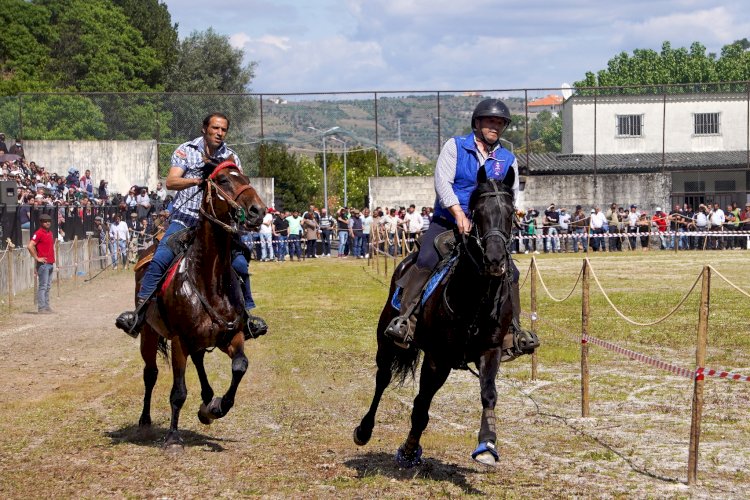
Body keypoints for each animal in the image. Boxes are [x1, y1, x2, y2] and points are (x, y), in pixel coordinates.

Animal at [135, 159, 268, 446]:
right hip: (149, 333)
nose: (258, 210)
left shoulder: (231, 335)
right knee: (150, 373)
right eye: (224, 180)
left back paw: (207, 401)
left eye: (245, 178)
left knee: (198, 361)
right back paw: (145, 420)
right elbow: (178, 391)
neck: (209, 279)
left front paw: (216, 407)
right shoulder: (178, 340)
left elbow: (240, 366)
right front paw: (173, 438)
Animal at [356, 166, 520, 466]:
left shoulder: (489, 350)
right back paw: (364, 430)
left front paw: (487, 444)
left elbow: (488, 394)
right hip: (387, 341)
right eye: (478, 211)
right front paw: (408, 450)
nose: (494, 259)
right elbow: (421, 405)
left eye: (510, 211)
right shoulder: (437, 358)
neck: (474, 297)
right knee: (382, 378)